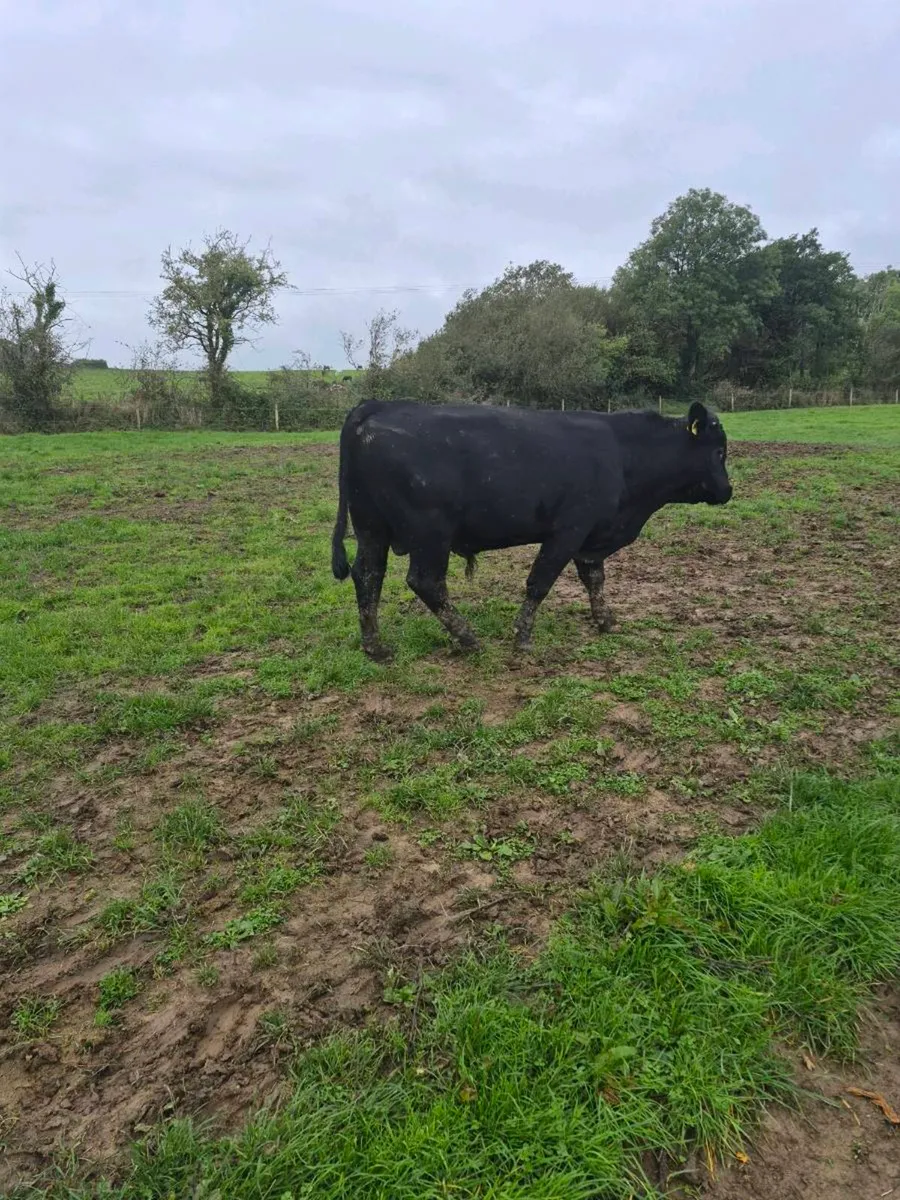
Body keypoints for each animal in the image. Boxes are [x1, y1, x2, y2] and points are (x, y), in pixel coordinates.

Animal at [331, 398, 732, 661]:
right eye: (719, 453)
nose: (728, 490)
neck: (623, 454)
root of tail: (380, 406)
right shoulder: (568, 530)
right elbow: (540, 582)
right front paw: (521, 637)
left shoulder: (591, 537)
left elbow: (595, 579)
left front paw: (605, 620)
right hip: (430, 534)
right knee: (425, 582)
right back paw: (468, 638)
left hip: (372, 528)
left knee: (368, 576)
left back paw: (375, 647)